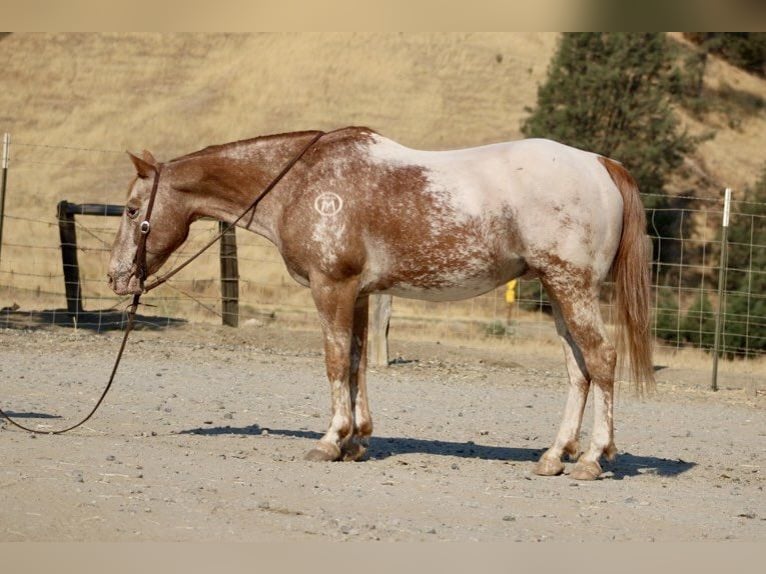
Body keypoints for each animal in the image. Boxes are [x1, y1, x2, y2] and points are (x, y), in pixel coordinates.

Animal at [108, 127, 654, 481]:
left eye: (132, 210)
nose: (116, 276)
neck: (305, 182)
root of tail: (600, 164)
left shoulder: (331, 287)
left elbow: (335, 362)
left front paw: (330, 441)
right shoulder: (360, 293)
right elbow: (355, 363)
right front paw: (357, 441)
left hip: (571, 286)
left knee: (602, 359)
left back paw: (592, 459)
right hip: (559, 294)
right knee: (579, 371)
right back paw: (555, 456)